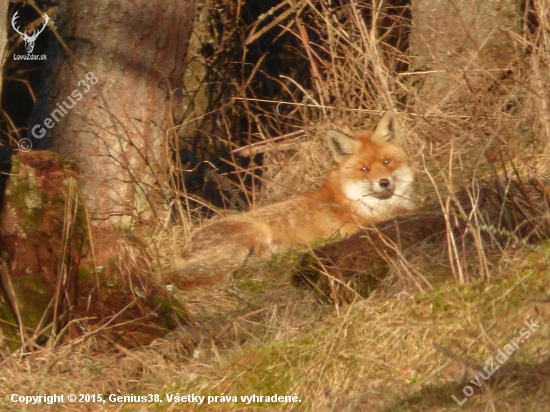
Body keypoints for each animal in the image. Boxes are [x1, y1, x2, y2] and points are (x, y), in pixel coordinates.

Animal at [170, 111, 416, 288]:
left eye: (386, 162)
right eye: (364, 169)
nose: (384, 182)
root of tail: (179, 259)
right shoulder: (359, 225)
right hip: (255, 233)